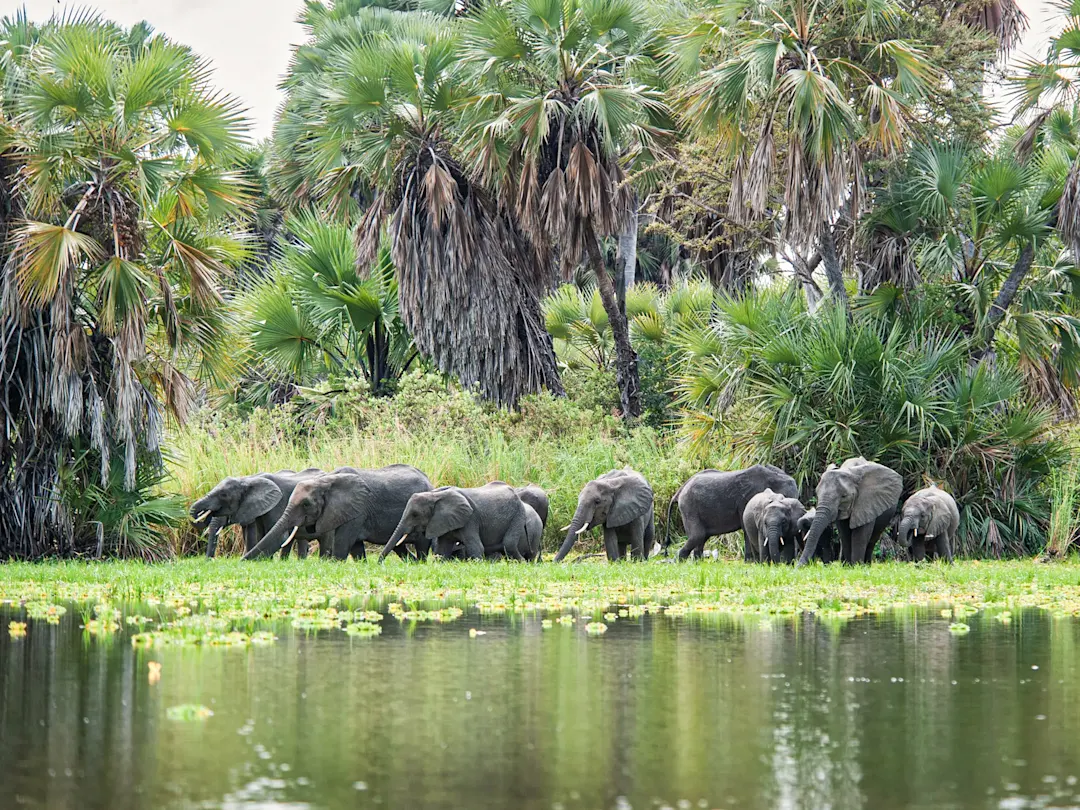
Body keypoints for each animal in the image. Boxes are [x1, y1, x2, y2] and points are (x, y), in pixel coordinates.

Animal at [243, 466, 432, 561]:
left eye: (306, 504)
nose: (241, 561)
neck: (325, 480)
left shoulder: (357, 509)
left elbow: (343, 543)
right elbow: (356, 548)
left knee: (421, 545)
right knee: (399, 547)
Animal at [378, 486, 533, 561]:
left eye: (415, 515)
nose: (380, 564)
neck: (435, 496)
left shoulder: (470, 519)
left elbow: (476, 547)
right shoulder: (443, 521)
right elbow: (442, 550)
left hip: (518, 514)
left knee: (509, 544)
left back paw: (523, 563)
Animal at [660, 466, 799, 561]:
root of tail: (679, 491)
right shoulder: (745, 500)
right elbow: (745, 527)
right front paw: (750, 563)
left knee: (701, 537)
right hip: (689, 507)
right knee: (697, 535)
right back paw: (678, 562)